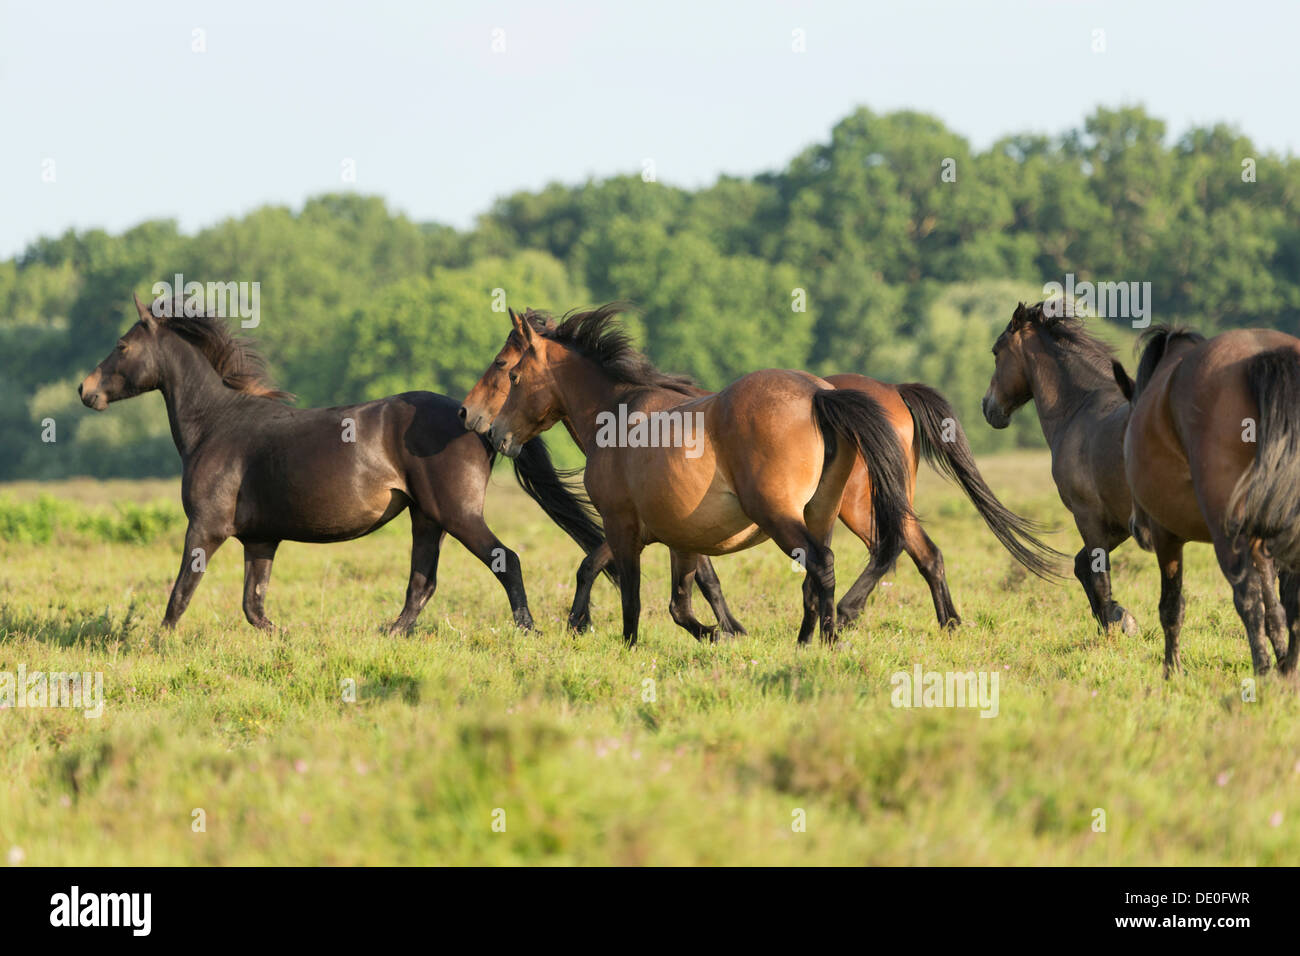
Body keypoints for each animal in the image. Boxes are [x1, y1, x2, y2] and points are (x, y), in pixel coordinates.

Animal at [78, 291, 605, 634]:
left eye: (122, 346)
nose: (86, 390)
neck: (215, 425)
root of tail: (475, 420)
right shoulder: (261, 539)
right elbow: (254, 606)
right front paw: (286, 639)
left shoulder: (205, 529)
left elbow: (180, 595)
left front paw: (157, 645)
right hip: (427, 518)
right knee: (422, 583)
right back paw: (392, 632)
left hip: (457, 514)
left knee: (505, 561)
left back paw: (529, 631)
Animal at [462, 303, 1060, 639]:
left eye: (503, 367)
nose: (475, 420)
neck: (621, 411)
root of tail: (827, 395)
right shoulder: (677, 535)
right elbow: (685, 593)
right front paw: (724, 632)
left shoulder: (625, 525)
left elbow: (621, 587)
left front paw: (602, 632)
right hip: (829, 511)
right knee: (905, 556)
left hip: (815, 511)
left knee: (856, 559)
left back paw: (834, 628)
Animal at [977, 300, 1144, 634]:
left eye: (996, 352)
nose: (987, 407)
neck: (1079, 407)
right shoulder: (1118, 520)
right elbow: (1082, 566)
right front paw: (1117, 617)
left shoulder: (1088, 515)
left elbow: (1099, 574)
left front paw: (1113, 623)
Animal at [1107, 325, 1300, 676]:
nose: (1136, 526)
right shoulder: (1260, 541)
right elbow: (1274, 607)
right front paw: (1282, 661)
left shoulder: (1166, 535)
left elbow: (1172, 607)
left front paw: (1172, 671)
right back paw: (1287, 671)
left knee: (1246, 599)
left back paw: (1263, 673)